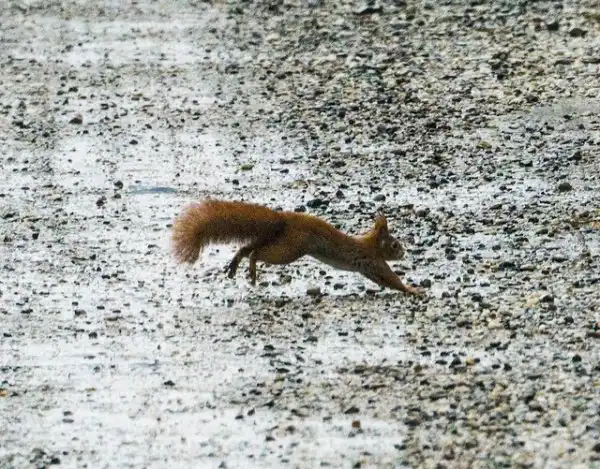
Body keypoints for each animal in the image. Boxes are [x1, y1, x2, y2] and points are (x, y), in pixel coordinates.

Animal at [172, 199, 424, 295]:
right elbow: (390, 278)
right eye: (394, 244)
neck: (370, 244)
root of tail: (283, 219)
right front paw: (413, 289)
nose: (404, 253)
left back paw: (236, 265)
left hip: (279, 240)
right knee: (257, 253)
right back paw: (251, 269)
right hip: (289, 248)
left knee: (248, 247)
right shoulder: (372, 261)